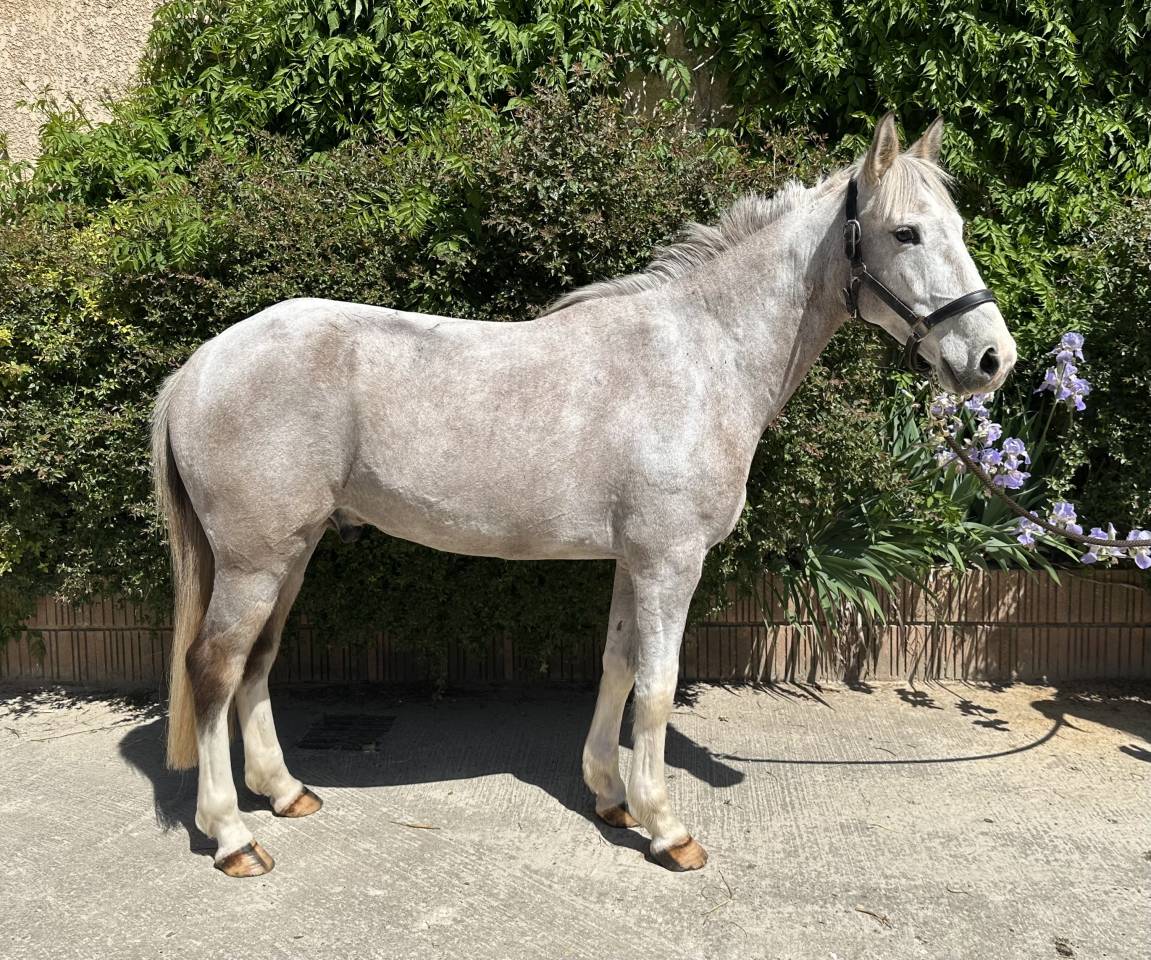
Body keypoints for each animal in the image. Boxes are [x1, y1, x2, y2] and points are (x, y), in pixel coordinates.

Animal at [151, 114, 1016, 877]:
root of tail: (197, 368)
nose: (991, 359)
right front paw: (666, 830)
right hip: (256, 561)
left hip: (293, 552)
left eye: (958, 226)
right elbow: (658, 689)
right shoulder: (670, 562)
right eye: (905, 233)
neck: (699, 356)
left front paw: (611, 796)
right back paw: (232, 837)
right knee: (214, 669)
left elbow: (617, 667)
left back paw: (284, 792)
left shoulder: (635, 561)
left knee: (257, 661)